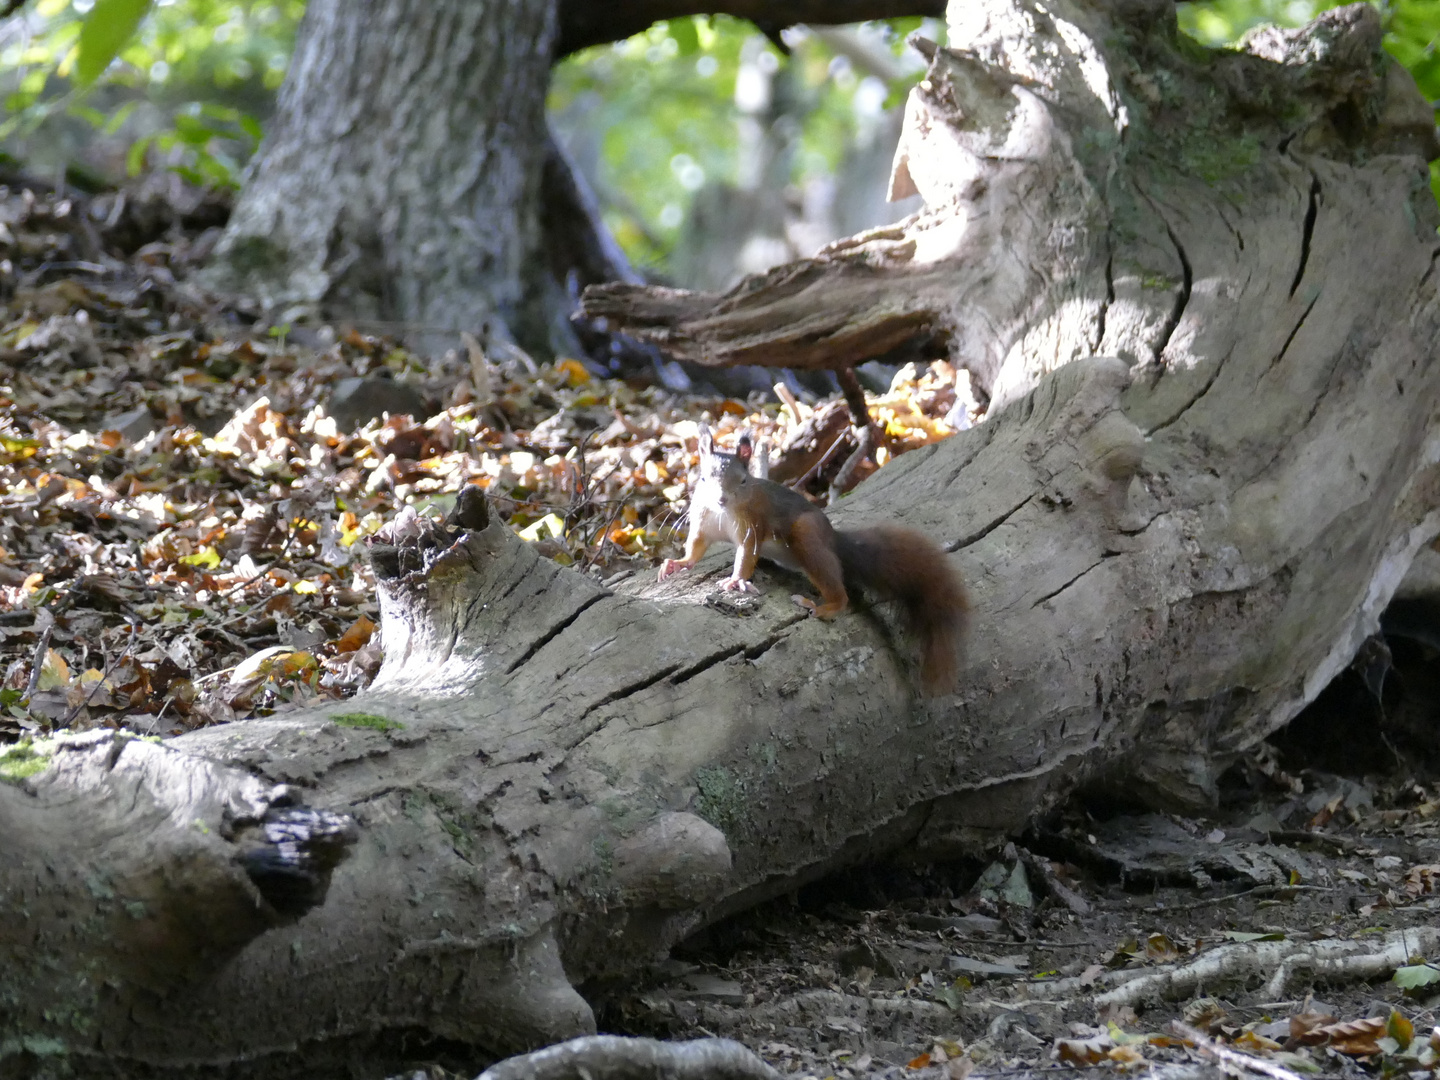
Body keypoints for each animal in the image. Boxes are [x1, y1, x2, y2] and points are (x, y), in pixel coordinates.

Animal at [662, 423, 967, 694]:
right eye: (703, 478)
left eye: (744, 480)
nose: (722, 499)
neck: (722, 513)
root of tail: (832, 539)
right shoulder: (703, 522)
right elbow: (696, 547)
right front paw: (678, 563)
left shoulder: (752, 526)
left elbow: (747, 553)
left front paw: (737, 580)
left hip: (807, 537)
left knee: (840, 594)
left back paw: (822, 608)